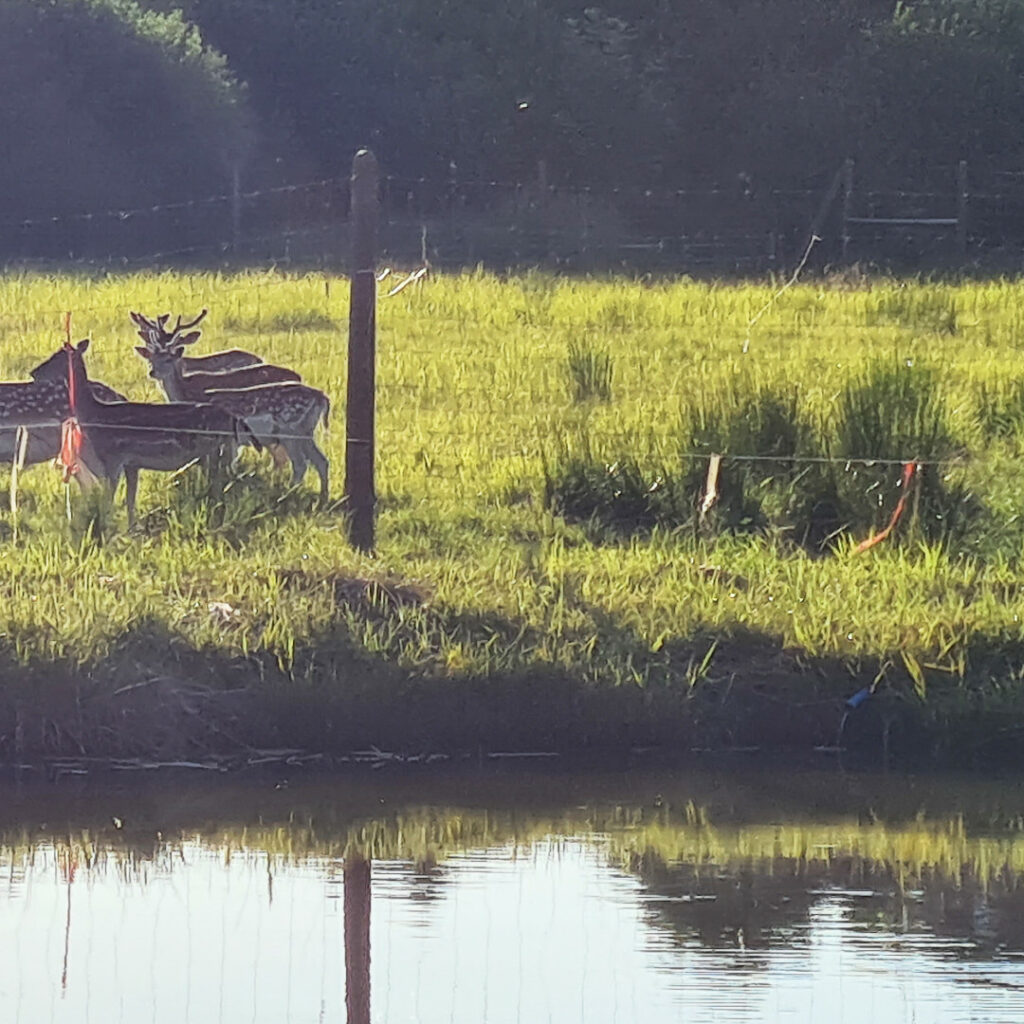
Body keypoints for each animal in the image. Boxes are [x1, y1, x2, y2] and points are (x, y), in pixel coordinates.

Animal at [36, 339, 260, 528]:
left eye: (59, 356)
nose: (35, 373)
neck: (95, 416)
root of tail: (231, 417)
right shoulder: (132, 464)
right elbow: (130, 500)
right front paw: (131, 530)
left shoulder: (114, 459)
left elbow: (109, 500)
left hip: (213, 447)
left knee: (222, 481)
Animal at [138, 344, 329, 503]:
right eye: (150, 359)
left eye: (168, 359)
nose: (152, 372)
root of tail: (322, 398)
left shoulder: (224, 438)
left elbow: (220, 466)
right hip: (305, 432)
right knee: (320, 461)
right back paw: (321, 499)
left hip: (290, 431)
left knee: (300, 464)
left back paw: (286, 496)